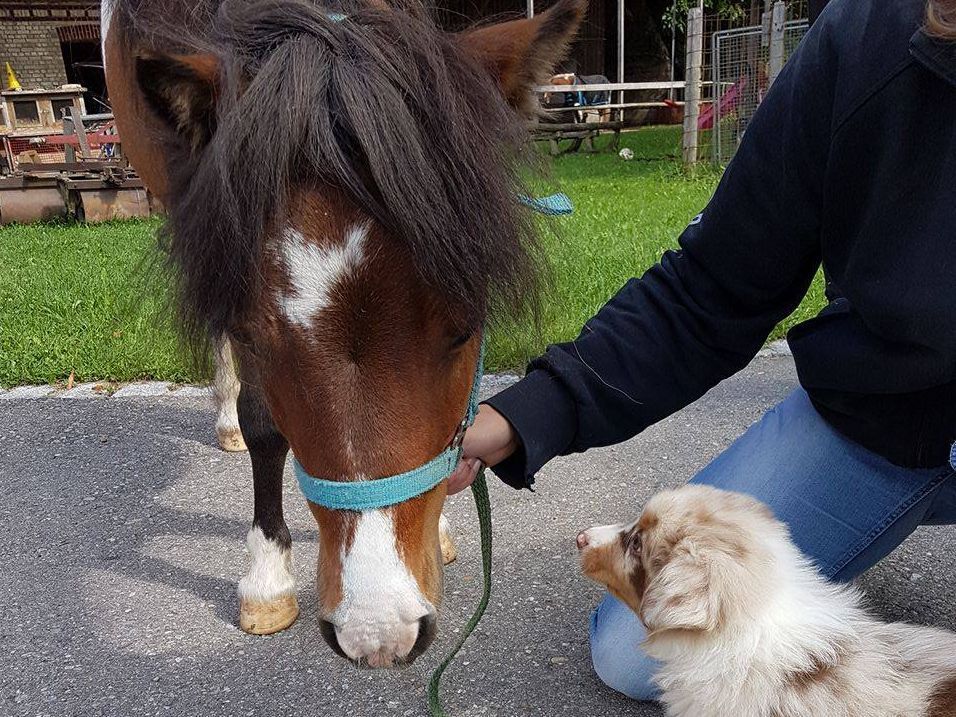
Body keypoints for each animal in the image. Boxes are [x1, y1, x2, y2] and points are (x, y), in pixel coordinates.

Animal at [103, 0, 584, 667]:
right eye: (254, 337)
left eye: (467, 328)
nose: (379, 632)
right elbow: (263, 424)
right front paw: (266, 580)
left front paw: (439, 524)